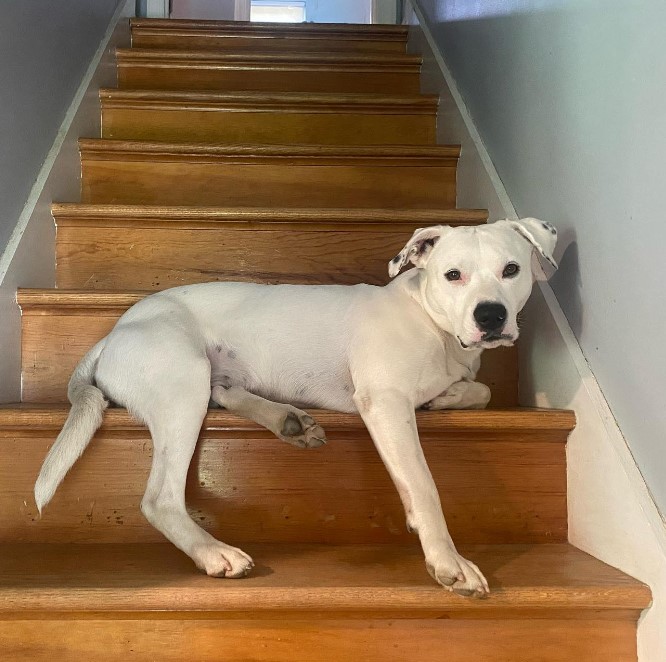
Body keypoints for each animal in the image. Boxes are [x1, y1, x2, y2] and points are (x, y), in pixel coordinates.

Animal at [35, 219, 556, 600]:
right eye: (453, 275)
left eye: (512, 270)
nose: (491, 316)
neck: (433, 324)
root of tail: (113, 333)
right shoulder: (385, 403)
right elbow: (424, 486)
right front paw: (449, 562)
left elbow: (480, 390)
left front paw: (447, 396)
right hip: (182, 382)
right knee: (160, 498)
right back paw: (212, 552)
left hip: (206, 377)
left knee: (225, 391)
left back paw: (288, 421)